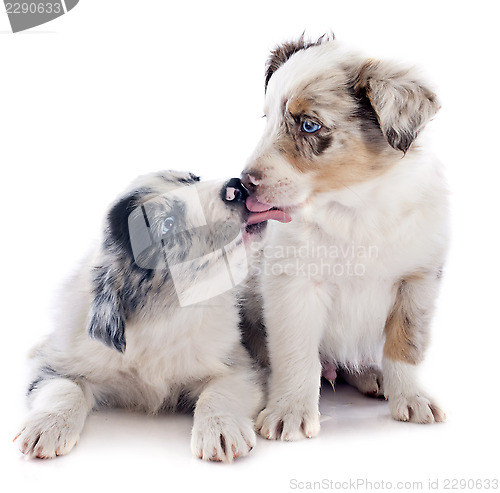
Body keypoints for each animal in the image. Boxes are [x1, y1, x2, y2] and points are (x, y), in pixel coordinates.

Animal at [14, 170, 290, 462]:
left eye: (193, 178)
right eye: (168, 224)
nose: (236, 187)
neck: (166, 316)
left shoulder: (239, 365)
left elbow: (221, 391)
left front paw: (221, 429)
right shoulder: (60, 360)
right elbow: (65, 386)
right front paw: (45, 426)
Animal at [240, 36, 448, 440]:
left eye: (309, 125)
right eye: (267, 119)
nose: (244, 183)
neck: (354, 207)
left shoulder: (418, 280)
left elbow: (406, 345)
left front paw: (411, 397)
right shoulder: (294, 286)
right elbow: (297, 355)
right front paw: (290, 410)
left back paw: (371, 375)